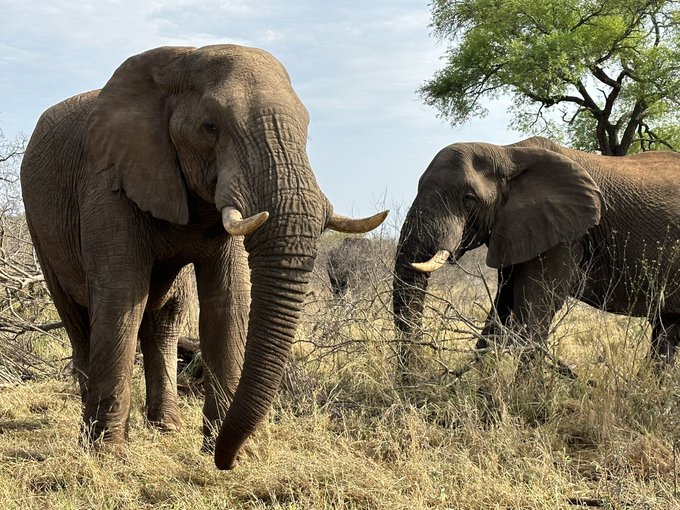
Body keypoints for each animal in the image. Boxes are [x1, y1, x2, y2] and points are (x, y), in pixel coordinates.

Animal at [20, 44, 387, 470]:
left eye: (307, 127)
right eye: (210, 127)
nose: (223, 460)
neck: (180, 59)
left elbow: (226, 303)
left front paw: (237, 454)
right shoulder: (107, 182)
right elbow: (120, 299)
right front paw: (107, 455)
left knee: (166, 316)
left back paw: (166, 428)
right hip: (40, 227)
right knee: (80, 320)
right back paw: (91, 431)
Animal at [393, 136, 680, 373]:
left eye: (469, 199)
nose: (416, 382)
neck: (507, 153)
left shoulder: (565, 234)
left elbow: (535, 312)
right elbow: (501, 311)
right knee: (667, 330)